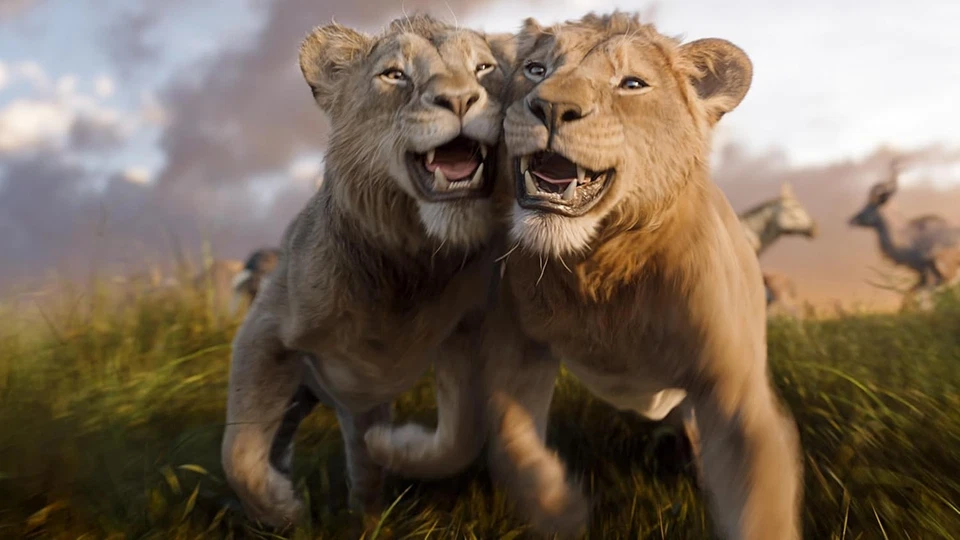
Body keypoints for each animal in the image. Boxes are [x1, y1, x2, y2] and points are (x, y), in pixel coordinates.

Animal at [220, 15, 515, 528]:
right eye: (395, 75)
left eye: (484, 68)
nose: (460, 100)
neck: (409, 262)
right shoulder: (264, 330)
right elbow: (237, 452)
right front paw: (281, 509)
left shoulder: (468, 331)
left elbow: (461, 434)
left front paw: (399, 447)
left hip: (359, 401)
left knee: (363, 465)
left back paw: (368, 516)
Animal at [481, 12, 803, 539]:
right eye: (535, 69)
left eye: (631, 84)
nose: (550, 106)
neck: (598, 270)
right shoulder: (517, 347)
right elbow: (508, 439)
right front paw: (561, 510)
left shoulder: (733, 391)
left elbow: (761, 507)